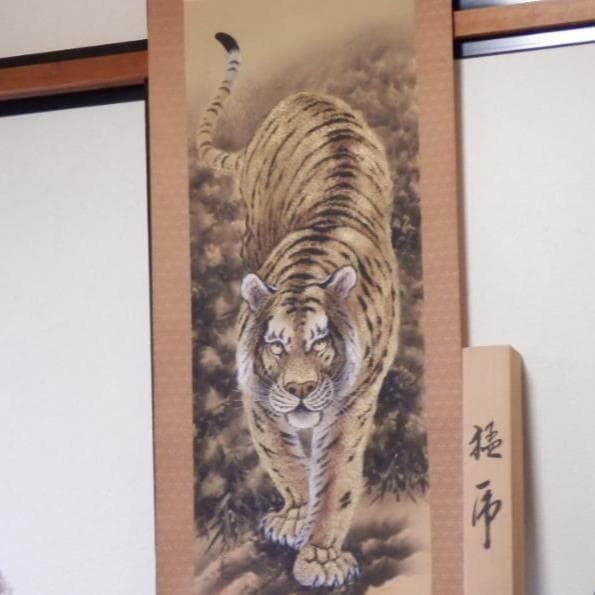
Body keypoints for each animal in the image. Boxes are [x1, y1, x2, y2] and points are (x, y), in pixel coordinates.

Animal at [196, 32, 400, 589]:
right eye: (275, 345)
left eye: (321, 342)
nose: (303, 390)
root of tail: (303, 98)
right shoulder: (260, 398)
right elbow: (284, 459)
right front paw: (294, 518)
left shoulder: (352, 404)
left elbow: (334, 479)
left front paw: (321, 556)